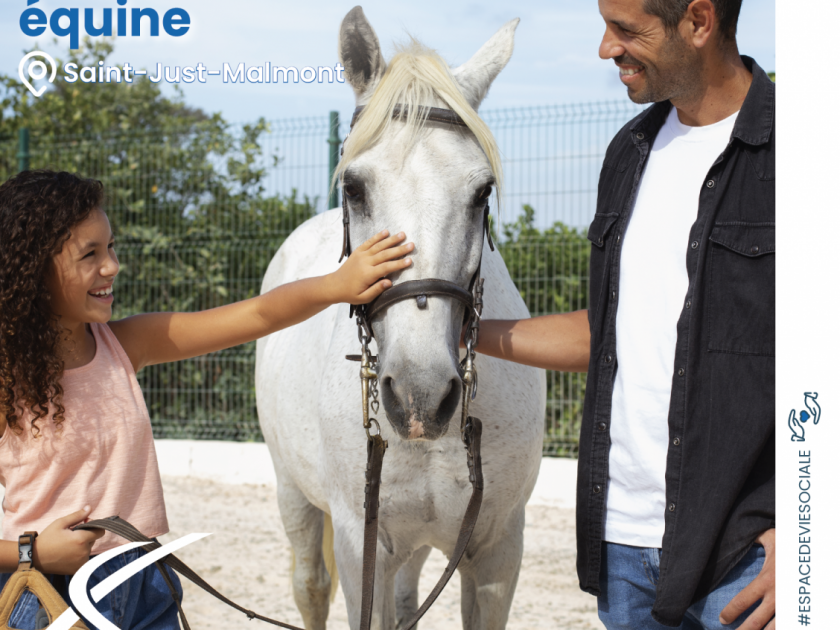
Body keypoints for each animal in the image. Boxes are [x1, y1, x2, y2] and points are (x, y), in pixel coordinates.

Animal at [256, 7, 544, 628]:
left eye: (482, 191)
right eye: (354, 187)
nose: (419, 396)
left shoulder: (497, 551)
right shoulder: (362, 546)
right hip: (293, 491)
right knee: (310, 585)